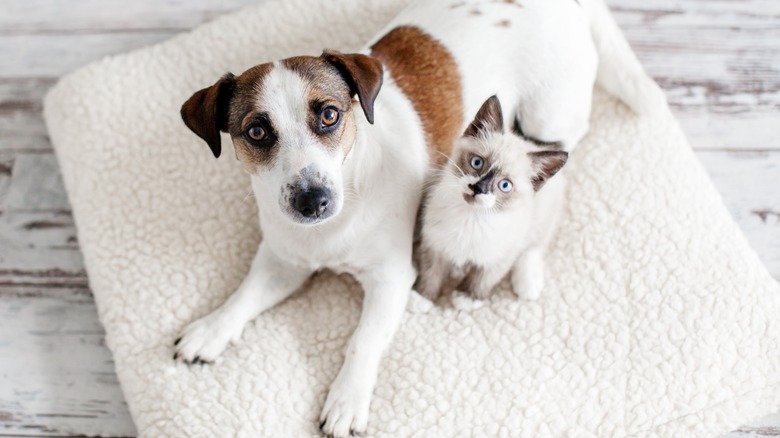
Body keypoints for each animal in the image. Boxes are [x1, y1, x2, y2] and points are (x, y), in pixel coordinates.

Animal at [414, 96, 568, 308]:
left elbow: (483, 278)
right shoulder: (434, 242)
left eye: (504, 185)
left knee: (534, 248)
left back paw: (528, 285)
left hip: (542, 219)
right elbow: (431, 271)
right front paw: (423, 297)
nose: (478, 188)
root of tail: (532, 144)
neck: (471, 218)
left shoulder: (500, 256)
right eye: (477, 163)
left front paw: (467, 298)